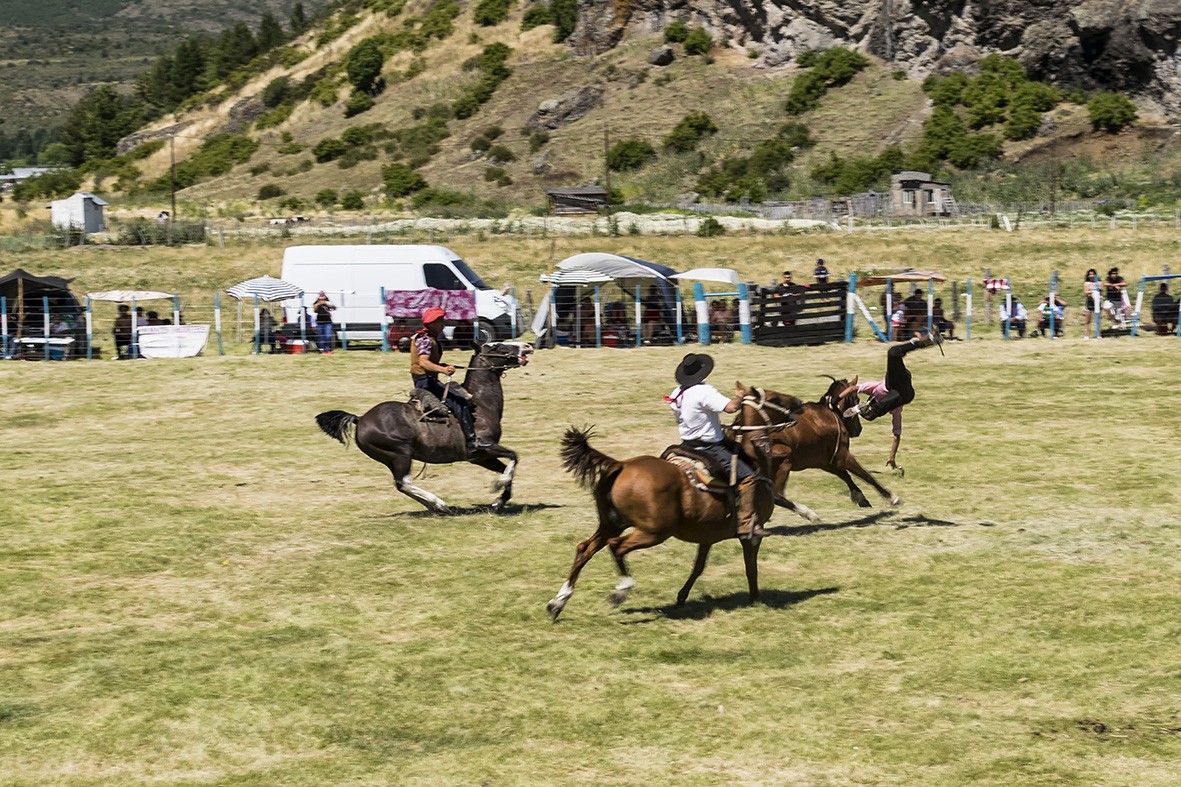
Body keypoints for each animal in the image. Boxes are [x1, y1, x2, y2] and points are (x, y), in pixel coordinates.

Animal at [316, 340, 533, 512]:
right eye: (496, 346)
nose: (528, 346)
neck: (479, 404)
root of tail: (360, 419)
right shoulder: (484, 447)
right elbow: (514, 458)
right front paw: (498, 487)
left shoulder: (480, 457)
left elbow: (507, 469)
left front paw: (499, 501)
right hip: (400, 454)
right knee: (404, 482)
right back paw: (439, 503)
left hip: (388, 458)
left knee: (400, 484)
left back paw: (434, 506)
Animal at [543, 385, 803, 619]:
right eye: (775, 398)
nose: (799, 403)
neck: (753, 458)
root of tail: (621, 465)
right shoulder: (752, 534)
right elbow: (751, 568)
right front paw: (756, 600)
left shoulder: (707, 535)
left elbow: (698, 567)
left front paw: (682, 597)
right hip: (654, 531)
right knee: (617, 546)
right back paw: (621, 590)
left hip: (611, 523)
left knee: (584, 549)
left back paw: (557, 603)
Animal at [760, 373, 897, 508]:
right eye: (857, 399)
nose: (859, 429)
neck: (830, 411)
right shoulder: (843, 455)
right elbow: (866, 475)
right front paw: (891, 497)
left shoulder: (825, 462)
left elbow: (845, 475)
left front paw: (860, 497)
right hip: (784, 462)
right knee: (777, 496)